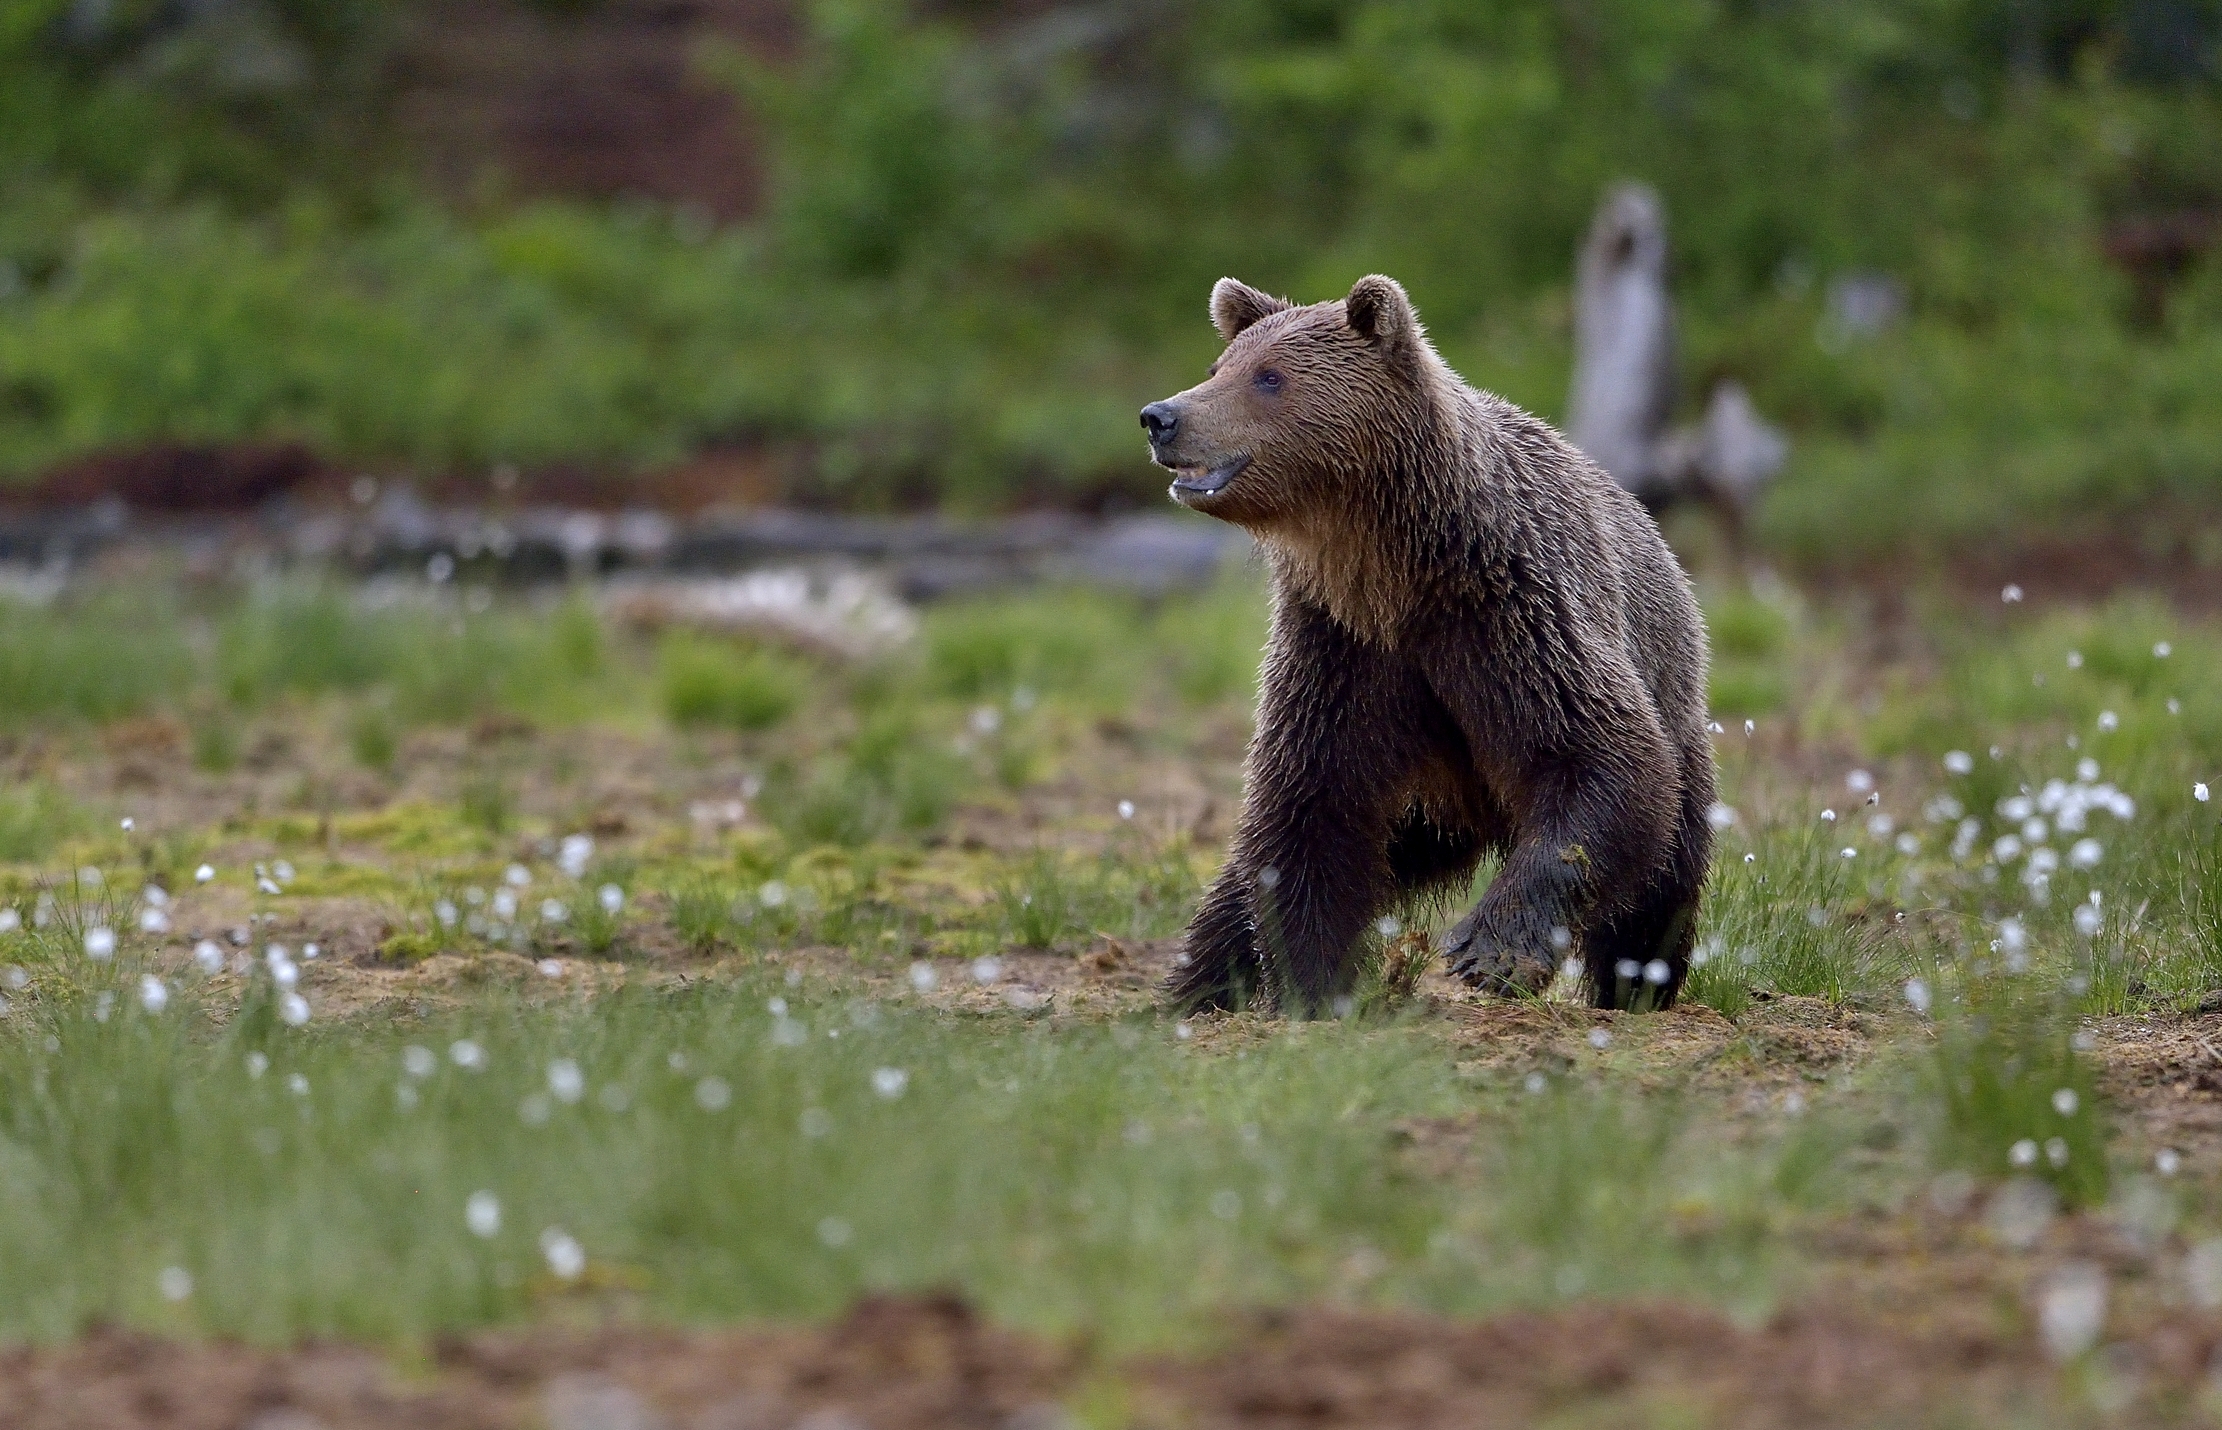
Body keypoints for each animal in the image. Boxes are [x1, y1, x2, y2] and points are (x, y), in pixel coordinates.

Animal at [1138, 274, 1714, 1015]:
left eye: (1268, 377)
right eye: (1219, 368)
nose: (1161, 416)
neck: (1396, 571)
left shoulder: (1513, 617)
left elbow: (1599, 760)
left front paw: (1491, 952)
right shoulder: (1342, 648)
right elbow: (1312, 808)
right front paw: (1306, 984)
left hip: (1676, 712)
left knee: (1665, 874)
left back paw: (1637, 986)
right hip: (1424, 810)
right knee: (1243, 886)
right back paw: (1199, 988)